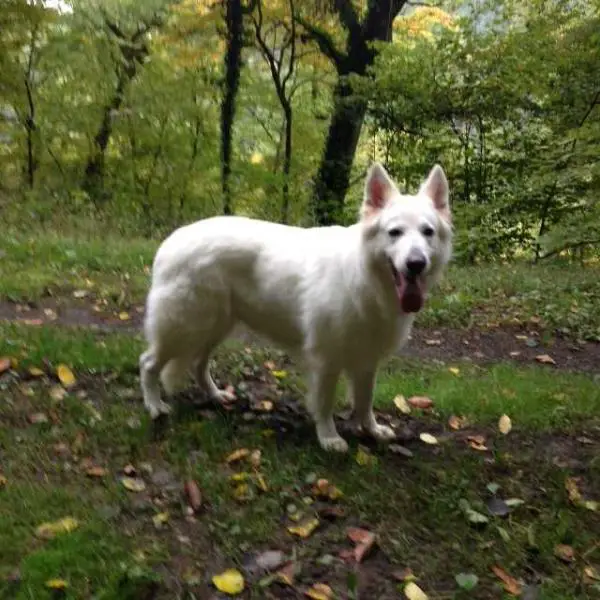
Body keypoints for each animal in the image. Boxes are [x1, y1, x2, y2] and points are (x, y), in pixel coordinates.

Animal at [139, 162, 450, 452]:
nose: (416, 263)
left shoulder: (366, 360)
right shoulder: (326, 359)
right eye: (394, 232)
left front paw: (371, 430)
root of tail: (170, 242)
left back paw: (216, 396)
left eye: (428, 232)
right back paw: (154, 406)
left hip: (213, 327)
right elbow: (325, 403)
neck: (366, 276)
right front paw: (329, 437)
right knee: (149, 363)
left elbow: (365, 401)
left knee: (197, 364)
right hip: (185, 327)